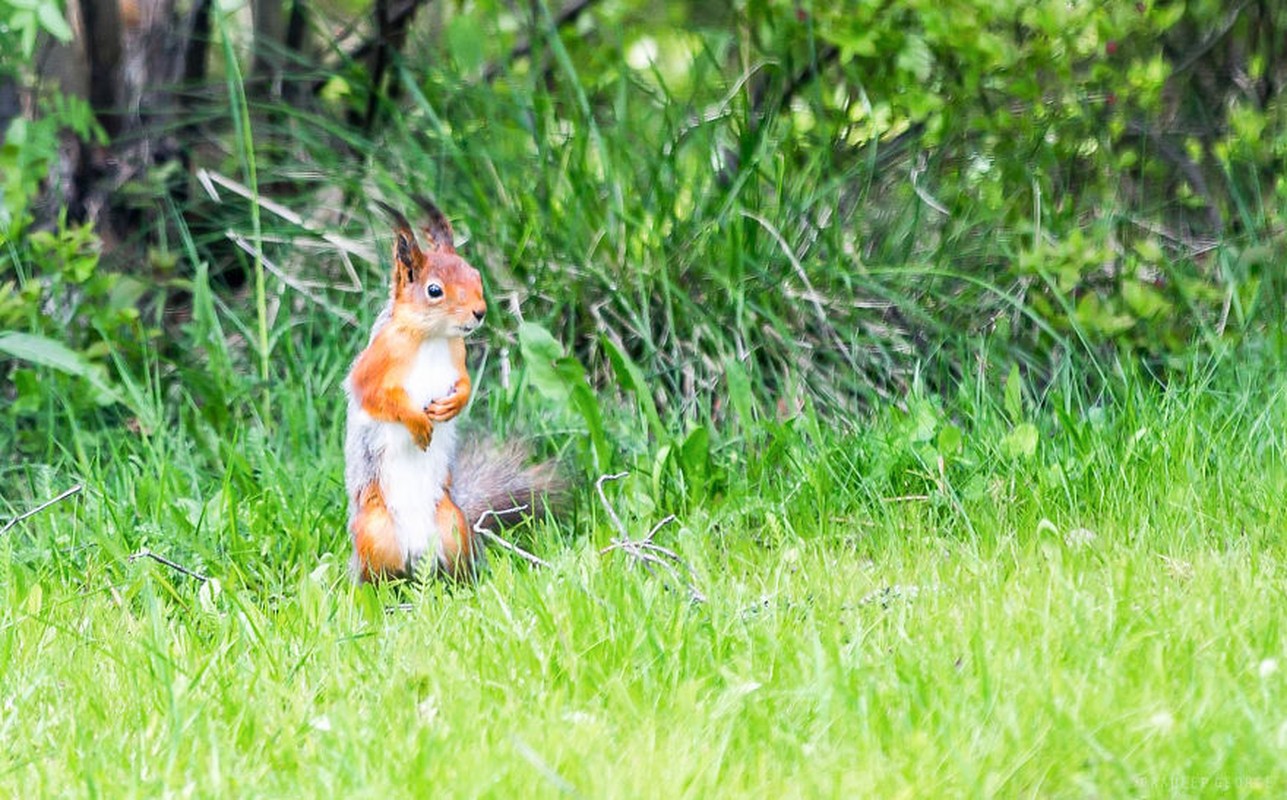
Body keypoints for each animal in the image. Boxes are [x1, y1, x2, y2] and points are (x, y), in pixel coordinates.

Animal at [344, 199, 561, 583]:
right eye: (434, 290)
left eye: (475, 274)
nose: (480, 312)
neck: (431, 336)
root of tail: (416, 556)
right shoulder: (375, 361)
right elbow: (374, 396)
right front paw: (417, 422)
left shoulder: (457, 355)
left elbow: (464, 383)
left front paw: (453, 405)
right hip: (374, 531)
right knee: (377, 580)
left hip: (452, 525)